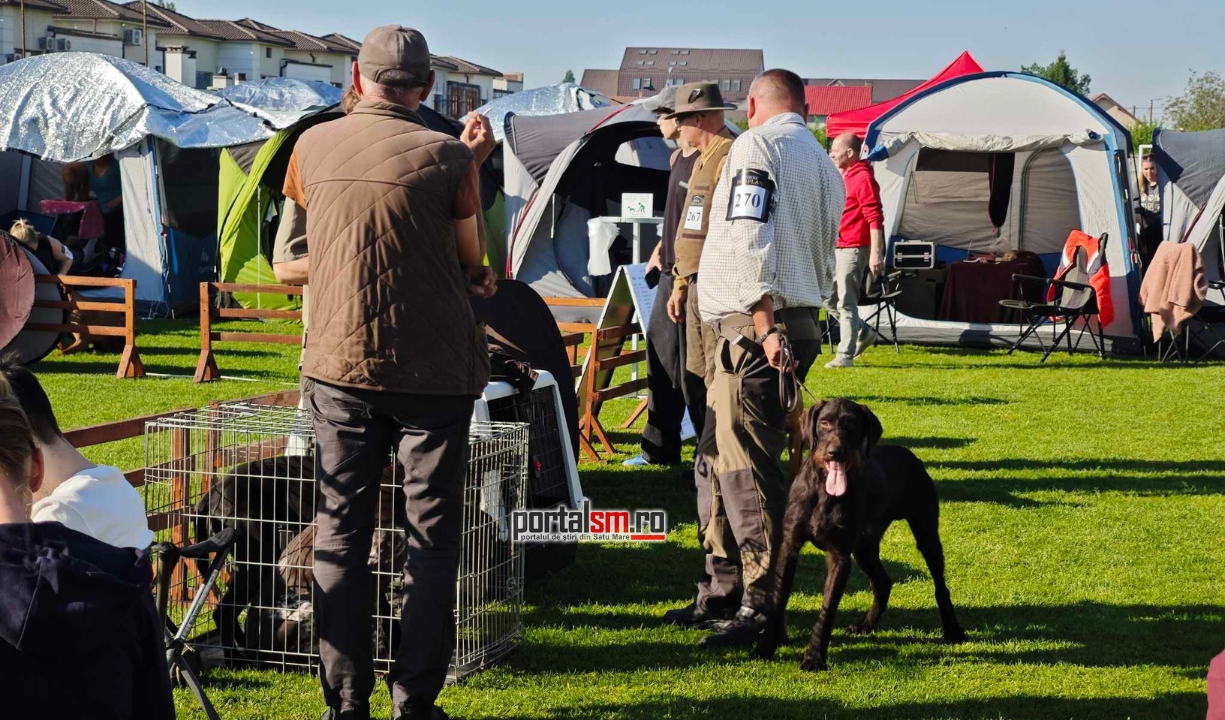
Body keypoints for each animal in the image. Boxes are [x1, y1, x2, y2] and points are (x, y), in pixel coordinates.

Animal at [752, 398, 967, 671]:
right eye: (824, 423)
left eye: (852, 424)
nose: (835, 452)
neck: (824, 491)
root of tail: (908, 453)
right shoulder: (789, 546)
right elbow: (777, 599)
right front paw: (764, 648)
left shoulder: (840, 555)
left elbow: (827, 610)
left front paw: (814, 658)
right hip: (864, 546)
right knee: (883, 582)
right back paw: (867, 625)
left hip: (926, 533)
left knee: (940, 586)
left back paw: (953, 630)